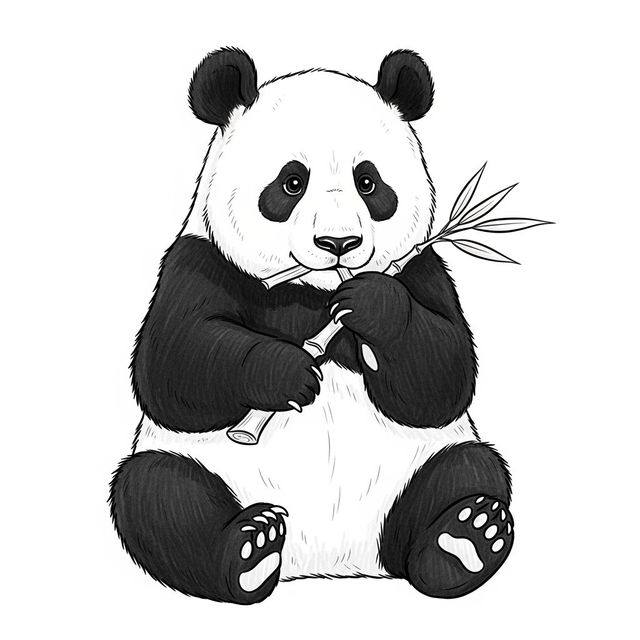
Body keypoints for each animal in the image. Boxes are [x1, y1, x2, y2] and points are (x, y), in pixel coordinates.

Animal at [110, 47, 514, 605]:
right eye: (291, 183)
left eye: (368, 182)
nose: (338, 242)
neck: (314, 290)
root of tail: (329, 563)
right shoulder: (198, 261)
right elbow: (174, 367)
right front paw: (286, 371)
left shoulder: (422, 268)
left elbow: (442, 376)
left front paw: (373, 305)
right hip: (197, 467)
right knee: (158, 494)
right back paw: (249, 551)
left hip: (419, 468)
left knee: (467, 470)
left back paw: (465, 539)